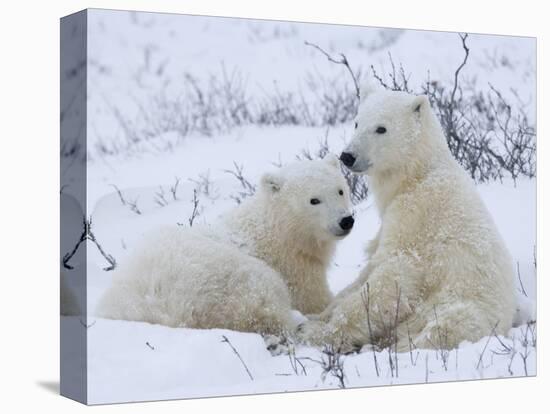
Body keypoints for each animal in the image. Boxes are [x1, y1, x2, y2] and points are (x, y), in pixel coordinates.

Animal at [97, 157, 356, 334]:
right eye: (314, 200)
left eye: (340, 190)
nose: (346, 220)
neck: (278, 232)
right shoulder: (294, 269)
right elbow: (315, 300)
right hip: (222, 279)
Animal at [298, 82, 516, 350]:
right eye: (357, 122)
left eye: (381, 128)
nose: (347, 156)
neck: (417, 175)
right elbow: (368, 268)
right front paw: (316, 316)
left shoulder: (415, 217)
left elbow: (393, 276)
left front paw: (316, 332)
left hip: (459, 307)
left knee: (440, 329)